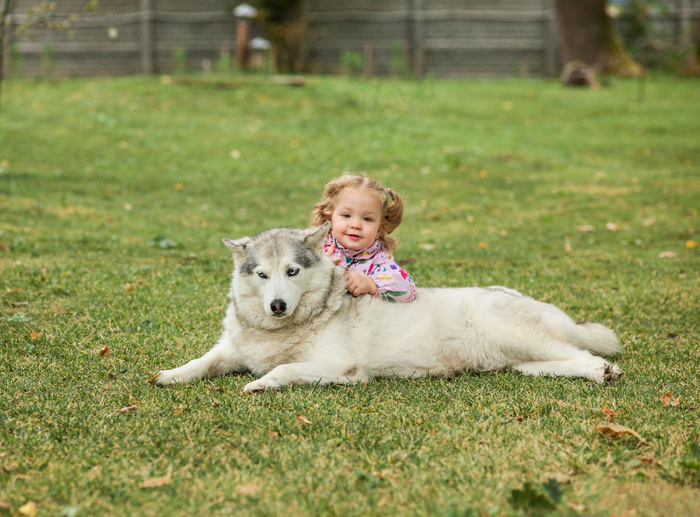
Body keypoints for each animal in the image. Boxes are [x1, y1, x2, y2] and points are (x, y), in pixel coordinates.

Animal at [154, 223, 624, 392]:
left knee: (586, 355)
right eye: (261, 274)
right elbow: (201, 362)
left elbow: (283, 369)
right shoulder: (230, 351)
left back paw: (603, 371)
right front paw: (171, 375)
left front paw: (260, 383)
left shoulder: (341, 369)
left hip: (516, 334)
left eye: (292, 271)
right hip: (519, 361)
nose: (277, 306)